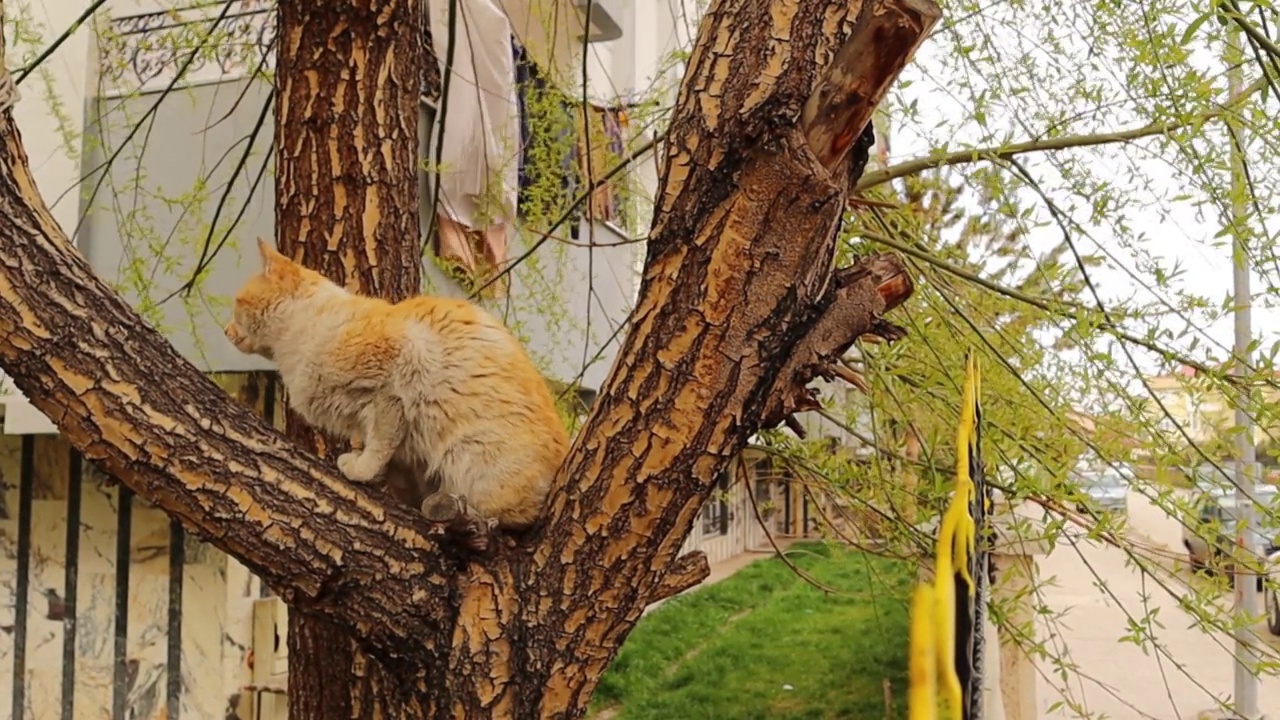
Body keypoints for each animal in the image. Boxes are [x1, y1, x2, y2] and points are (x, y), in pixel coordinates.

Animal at [225, 238, 570, 525]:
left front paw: (360, 469)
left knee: (511, 518)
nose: (226, 331)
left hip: (469, 455)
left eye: (237, 303)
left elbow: (379, 441)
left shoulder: (391, 388)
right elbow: (391, 461)